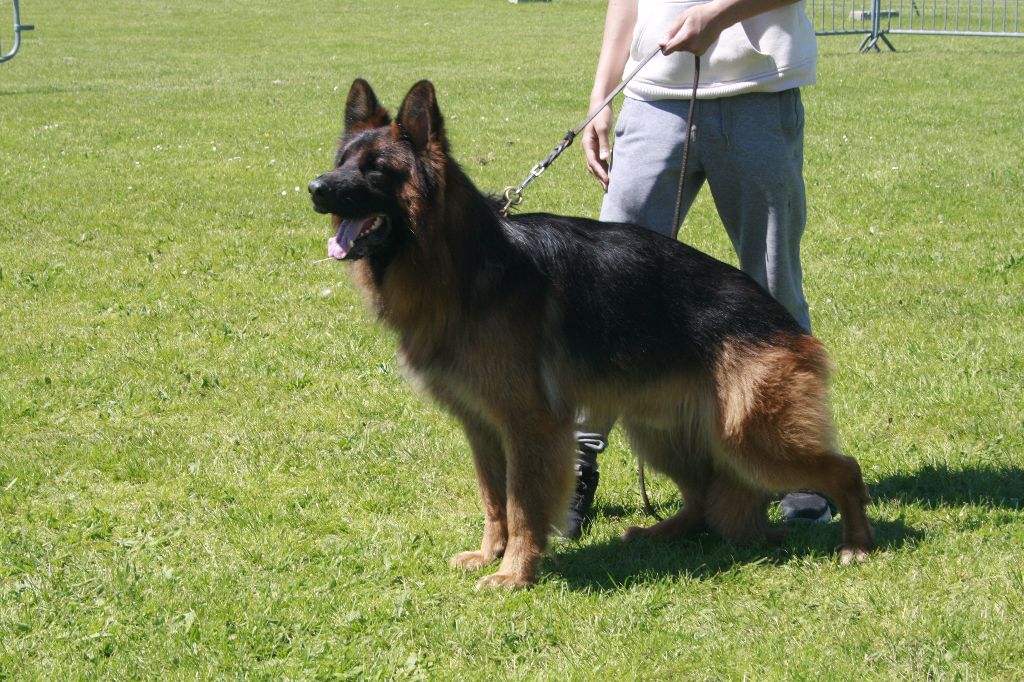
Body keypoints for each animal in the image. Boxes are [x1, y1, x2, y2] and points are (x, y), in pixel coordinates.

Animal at [305, 79, 872, 585]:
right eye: (342, 162)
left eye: (376, 170)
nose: (315, 188)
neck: (462, 267)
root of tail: (782, 319)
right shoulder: (482, 428)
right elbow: (494, 501)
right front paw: (491, 555)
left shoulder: (529, 427)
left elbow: (522, 505)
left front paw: (514, 573)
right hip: (661, 432)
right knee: (705, 494)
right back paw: (662, 532)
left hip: (749, 437)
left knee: (844, 469)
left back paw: (858, 544)